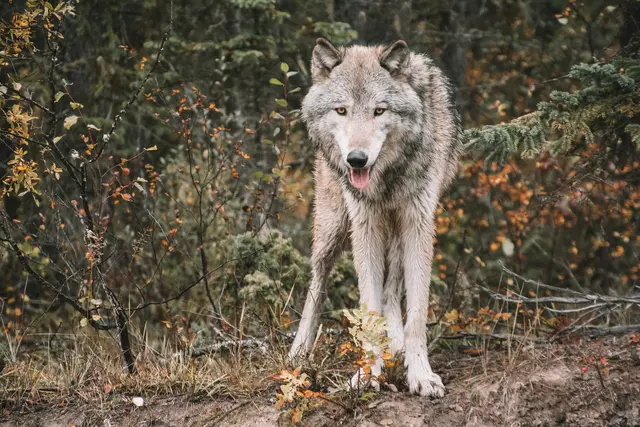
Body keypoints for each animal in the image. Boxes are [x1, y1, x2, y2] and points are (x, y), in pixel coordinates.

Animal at [288, 38, 462, 397]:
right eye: (341, 110)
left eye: (379, 111)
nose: (356, 159)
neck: (387, 177)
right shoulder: (364, 225)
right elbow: (368, 306)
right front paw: (369, 375)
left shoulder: (418, 223)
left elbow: (416, 312)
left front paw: (421, 374)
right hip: (333, 229)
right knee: (318, 281)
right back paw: (299, 350)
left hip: (394, 230)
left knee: (393, 287)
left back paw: (394, 342)